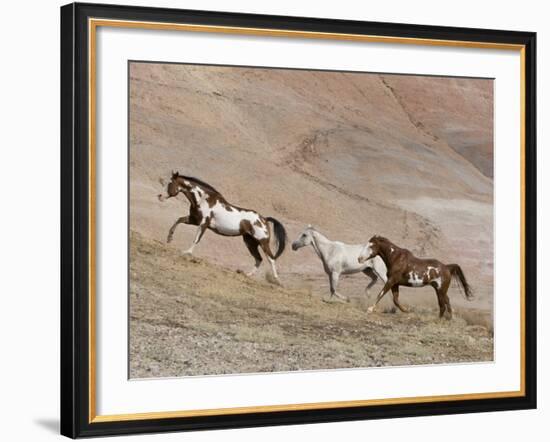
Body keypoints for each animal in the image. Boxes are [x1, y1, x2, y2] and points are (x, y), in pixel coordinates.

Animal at [160, 171, 288, 282]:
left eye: (170, 183)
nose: (159, 196)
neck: (203, 200)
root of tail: (264, 219)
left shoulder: (203, 223)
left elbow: (196, 239)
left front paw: (187, 252)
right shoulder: (194, 220)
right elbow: (178, 220)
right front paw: (169, 238)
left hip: (263, 242)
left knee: (271, 258)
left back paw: (276, 280)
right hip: (250, 242)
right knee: (258, 258)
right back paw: (247, 275)